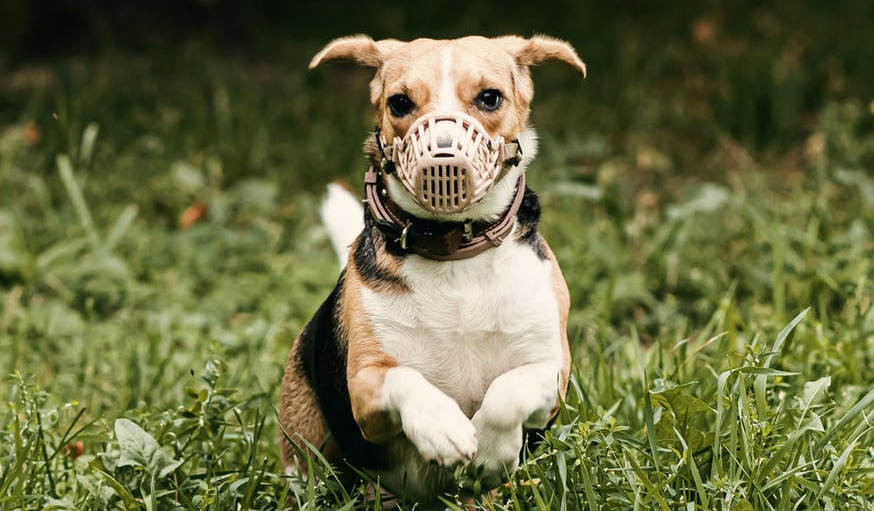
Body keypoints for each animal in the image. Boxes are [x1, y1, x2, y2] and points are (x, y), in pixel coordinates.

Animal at [282, 34, 584, 502]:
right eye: (400, 103)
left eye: (490, 98)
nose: (443, 158)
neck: (454, 252)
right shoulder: (364, 387)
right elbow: (405, 378)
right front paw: (444, 430)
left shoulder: (552, 372)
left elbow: (507, 391)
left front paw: (490, 452)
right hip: (306, 444)